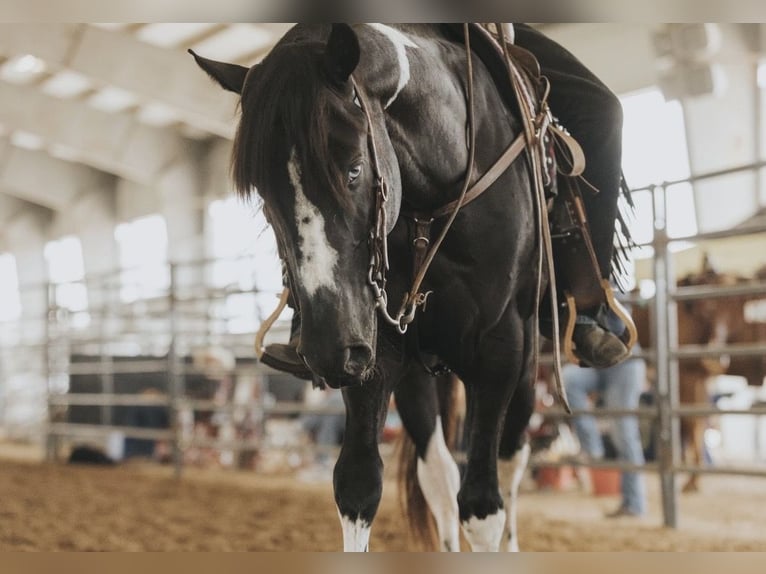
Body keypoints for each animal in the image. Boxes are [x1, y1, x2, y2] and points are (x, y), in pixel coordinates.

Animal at [193, 24, 544, 551]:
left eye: (355, 168)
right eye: (263, 193)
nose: (325, 350)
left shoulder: (500, 351)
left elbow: (484, 507)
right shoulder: (376, 351)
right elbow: (358, 487)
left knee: (511, 461)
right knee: (439, 476)